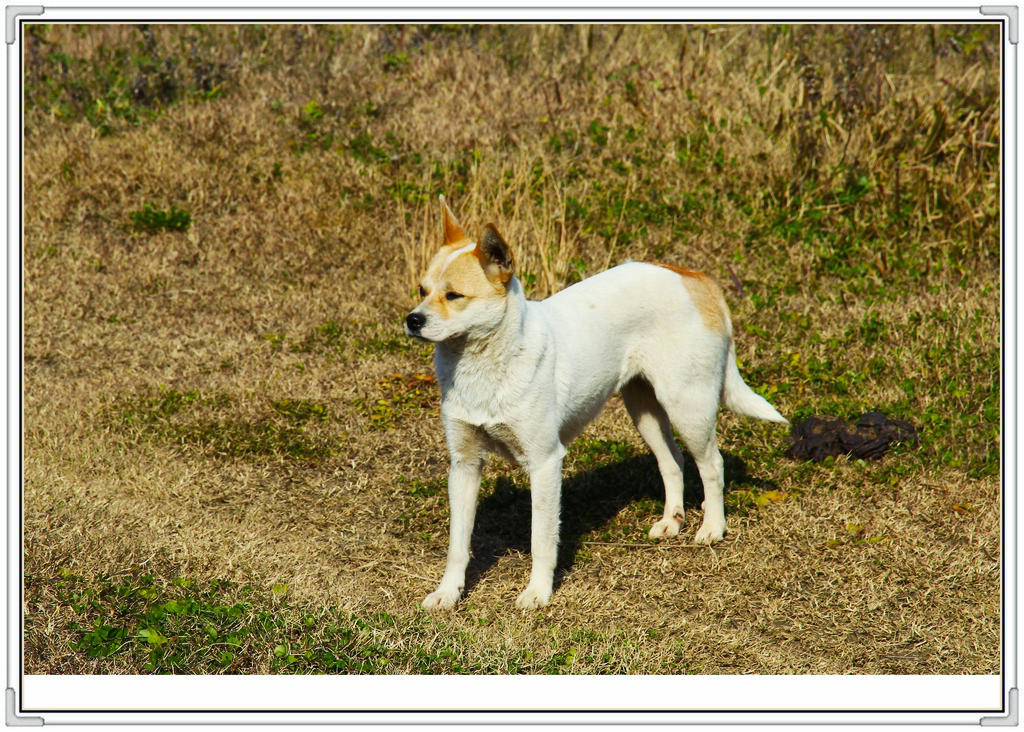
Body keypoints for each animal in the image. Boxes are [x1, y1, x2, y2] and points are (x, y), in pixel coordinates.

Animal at [403, 197, 786, 610]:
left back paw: (713, 527)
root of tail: (695, 278)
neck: (485, 364)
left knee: (711, 464)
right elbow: (458, 545)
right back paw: (672, 520)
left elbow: (541, 540)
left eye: (454, 296)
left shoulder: (544, 463)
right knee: (673, 461)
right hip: (644, 412)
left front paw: (538, 593)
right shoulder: (464, 465)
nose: (412, 320)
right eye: (422, 289)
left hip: (689, 408)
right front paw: (448, 593)